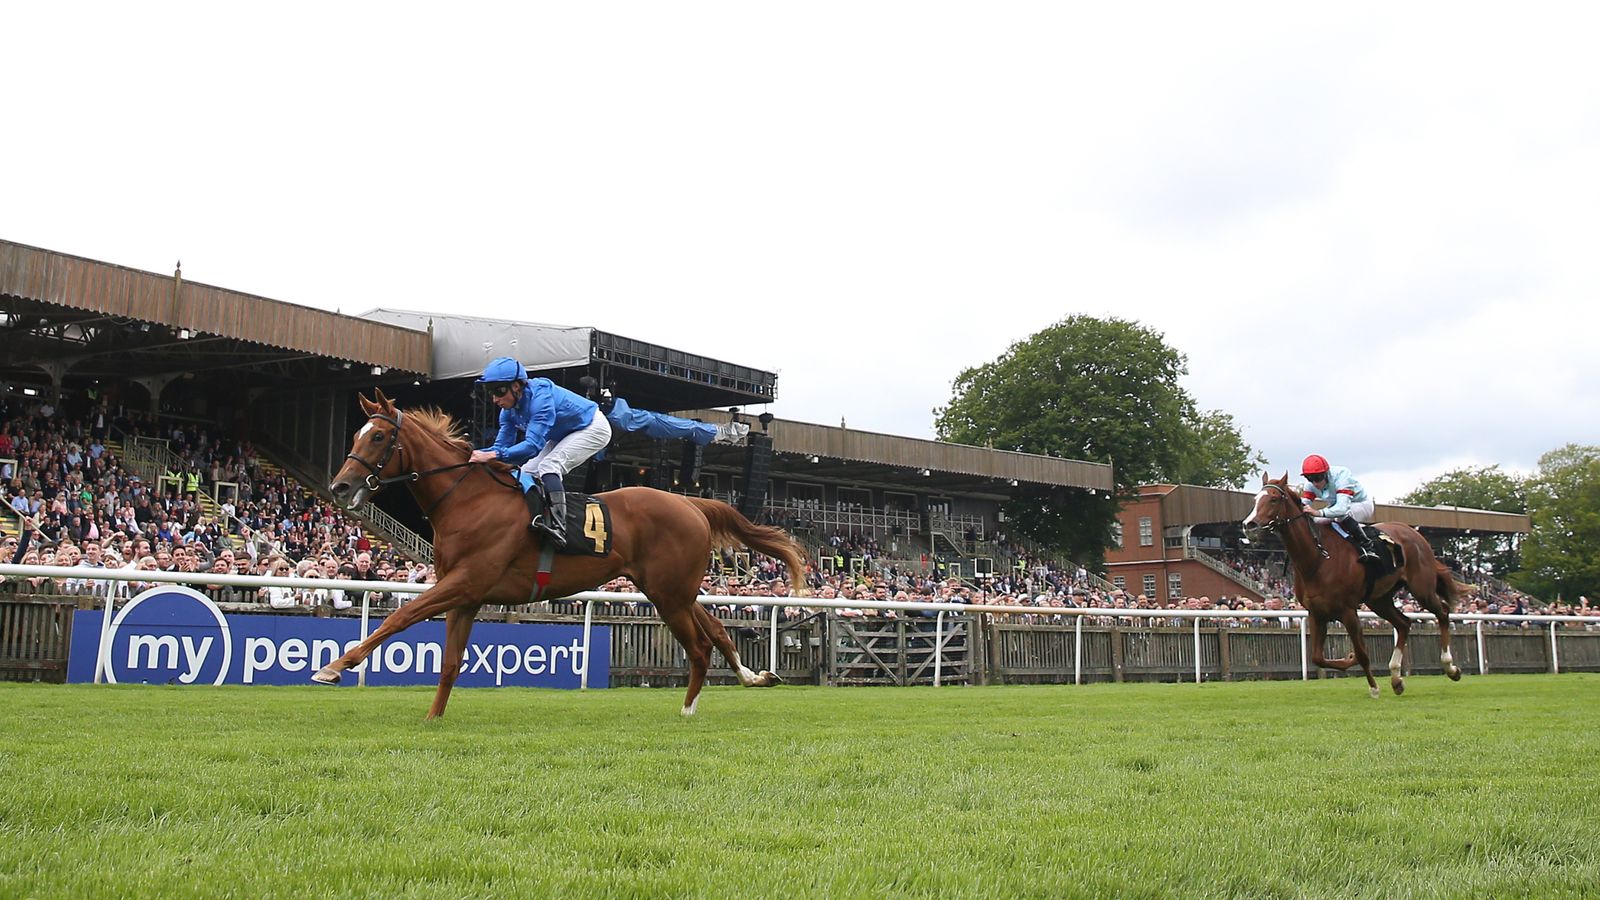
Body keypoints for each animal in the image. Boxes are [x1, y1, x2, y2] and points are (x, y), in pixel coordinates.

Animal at [316, 385, 806, 714]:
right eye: (357, 434)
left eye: (378, 437)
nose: (339, 487)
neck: (467, 498)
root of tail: (689, 502)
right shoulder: (467, 595)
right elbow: (450, 662)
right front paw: (433, 718)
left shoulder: (464, 582)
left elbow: (398, 618)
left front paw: (334, 667)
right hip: (669, 589)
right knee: (717, 629)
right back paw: (754, 676)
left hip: (669, 594)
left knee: (700, 646)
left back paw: (688, 708)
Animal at [1241, 470, 1465, 695]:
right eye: (1255, 499)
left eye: (1273, 499)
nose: (1249, 525)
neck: (1318, 559)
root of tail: (1415, 533)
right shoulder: (1316, 612)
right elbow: (1318, 657)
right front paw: (1351, 659)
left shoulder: (1348, 610)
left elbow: (1362, 653)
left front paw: (1374, 688)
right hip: (1379, 600)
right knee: (1404, 623)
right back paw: (1396, 678)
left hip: (1421, 588)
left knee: (1443, 613)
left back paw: (1450, 667)